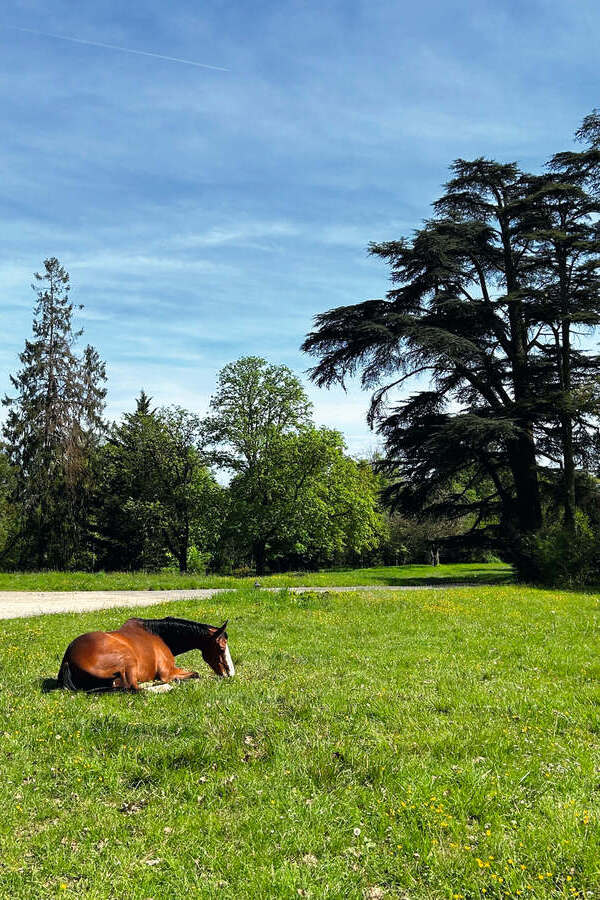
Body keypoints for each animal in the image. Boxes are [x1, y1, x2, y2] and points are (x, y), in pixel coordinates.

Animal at [56, 616, 234, 692]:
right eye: (221, 648)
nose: (230, 674)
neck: (159, 635)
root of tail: (68, 660)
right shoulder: (168, 672)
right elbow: (196, 674)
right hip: (127, 660)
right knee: (132, 687)